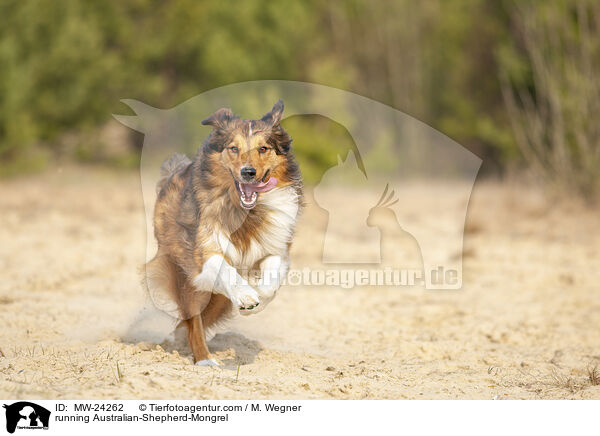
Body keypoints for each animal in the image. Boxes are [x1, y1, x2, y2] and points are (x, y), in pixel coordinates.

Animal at [145, 100, 302, 366]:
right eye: (233, 148)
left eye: (263, 148)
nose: (248, 172)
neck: (247, 213)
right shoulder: (205, 254)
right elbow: (226, 271)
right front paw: (247, 297)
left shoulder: (275, 249)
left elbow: (271, 283)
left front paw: (257, 300)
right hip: (185, 274)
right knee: (194, 319)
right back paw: (204, 360)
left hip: (217, 299)